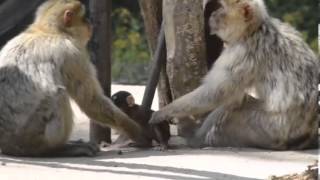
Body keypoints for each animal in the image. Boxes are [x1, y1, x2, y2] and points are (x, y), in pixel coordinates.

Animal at [0, 0, 151, 156]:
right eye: (84, 18)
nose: (90, 23)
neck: (48, 31)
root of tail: (6, 145)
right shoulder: (73, 54)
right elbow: (91, 101)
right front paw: (134, 131)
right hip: (29, 136)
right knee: (59, 95)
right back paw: (55, 149)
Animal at [149, 0, 318, 150]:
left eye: (222, 8)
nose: (213, 14)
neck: (253, 30)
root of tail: (306, 136)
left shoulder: (241, 54)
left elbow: (215, 93)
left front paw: (163, 112)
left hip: (268, 128)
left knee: (231, 107)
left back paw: (196, 138)